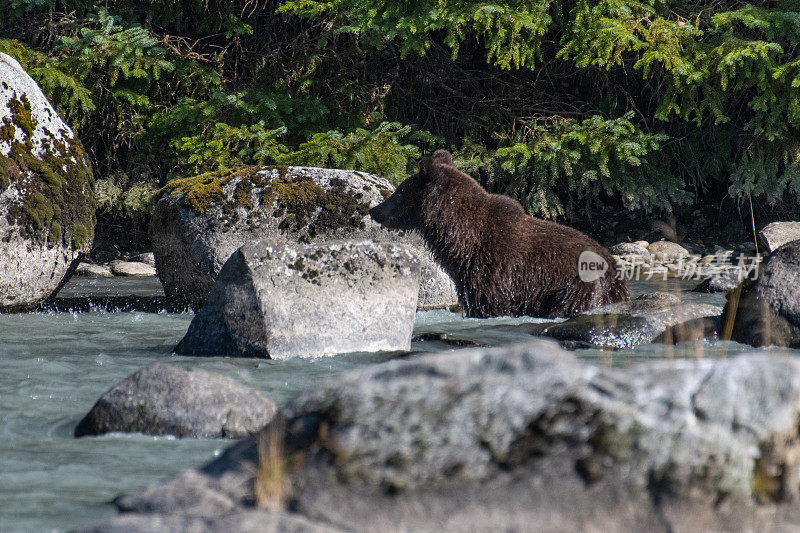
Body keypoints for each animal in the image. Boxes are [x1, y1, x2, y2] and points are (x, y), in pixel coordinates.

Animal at [368, 148, 624, 318]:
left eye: (399, 192)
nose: (374, 210)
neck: (461, 239)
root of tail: (613, 272)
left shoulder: (493, 272)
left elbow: (489, 303)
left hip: (576, 289)